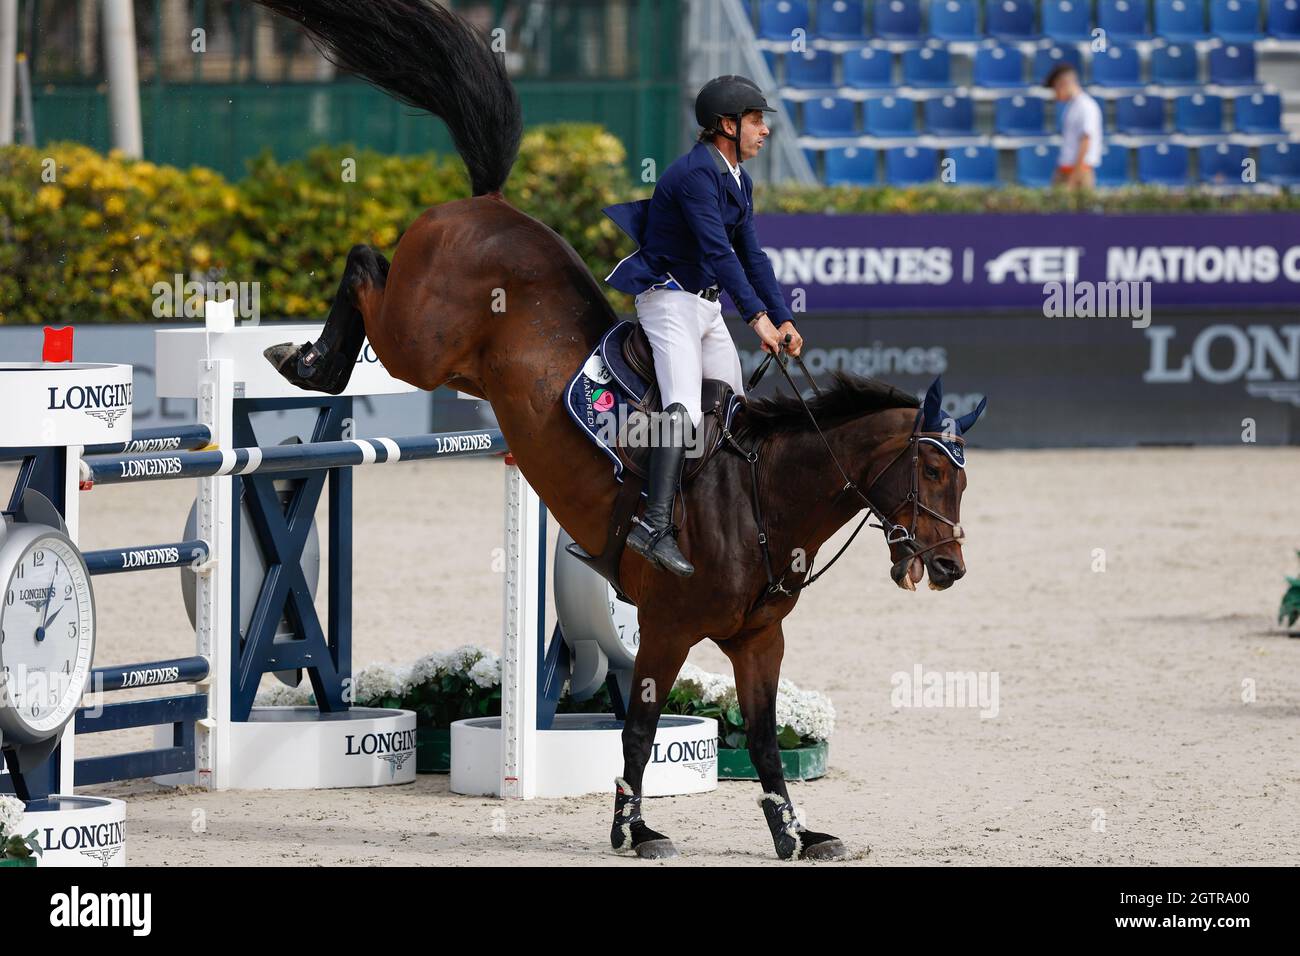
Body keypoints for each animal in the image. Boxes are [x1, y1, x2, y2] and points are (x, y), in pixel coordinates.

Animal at [253, 0, 977, 863]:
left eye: (962, 479)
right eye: (930, 474)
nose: (950, 568)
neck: (764, 498)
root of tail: (488, 203)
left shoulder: (759, 641)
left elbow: (767, 739)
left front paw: (795, 834)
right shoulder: (665, 630)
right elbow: (638, 729)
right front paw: (633, 828)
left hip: (460, 366)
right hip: (417, 343)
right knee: (365, 264)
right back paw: (307, 359)